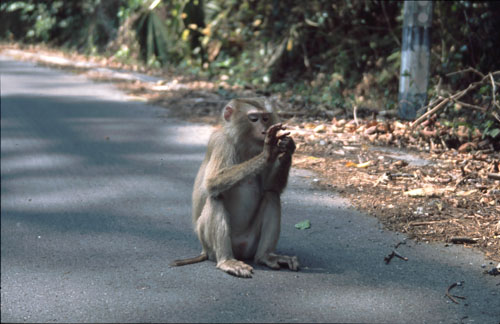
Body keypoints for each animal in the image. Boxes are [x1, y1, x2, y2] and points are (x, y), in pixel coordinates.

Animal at [170, 97, 298, 278]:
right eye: (254, 119)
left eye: (266, 118)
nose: (264, 129)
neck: (243, 142)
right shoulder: (221, 143)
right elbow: (212, 182)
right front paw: (268, 153)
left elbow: (271, 187)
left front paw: (287, 147)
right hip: (209, 244)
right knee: (215, 198)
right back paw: (227, 261)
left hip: (251, 243)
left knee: (272, 196)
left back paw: (266, 256)